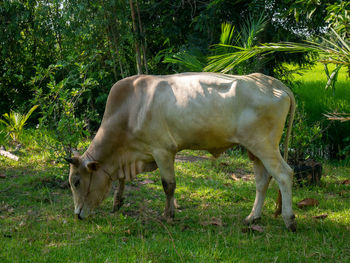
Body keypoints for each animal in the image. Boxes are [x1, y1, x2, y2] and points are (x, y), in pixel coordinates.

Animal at [65, 72, 296, 231]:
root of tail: (272, 82)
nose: (77, 215)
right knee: (263, 180)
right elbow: (123, 180)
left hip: (264, 145)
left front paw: (169, 214)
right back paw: (252, 217)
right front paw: (117, 201)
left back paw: (289, 219)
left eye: (76, 182)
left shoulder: (162, 151)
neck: (130, 111)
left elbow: (168, 185)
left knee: (284, 174)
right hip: (254, 149)